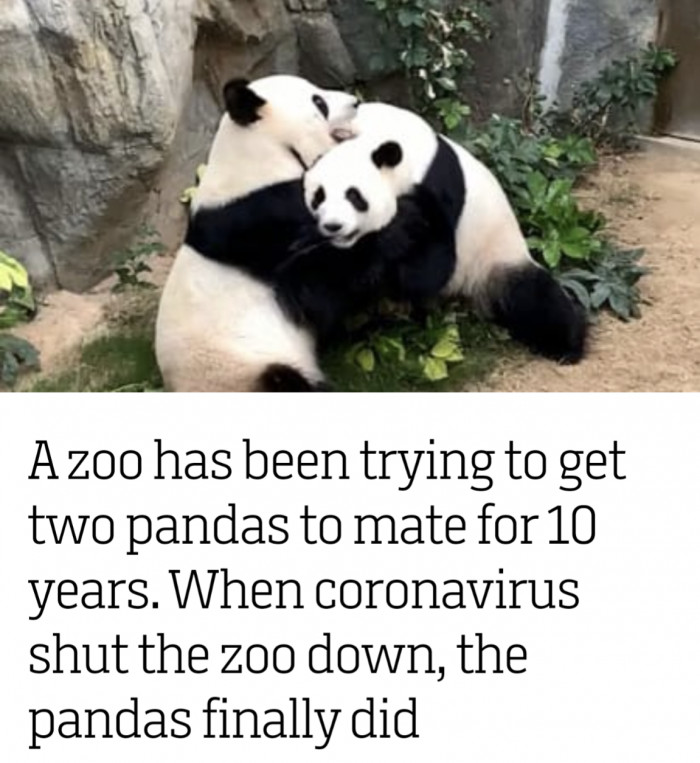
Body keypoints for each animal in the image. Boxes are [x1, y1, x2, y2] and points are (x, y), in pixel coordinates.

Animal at [302, 102, 588, 363]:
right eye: (319, 197)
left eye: (354, 197)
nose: (333, 226)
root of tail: (465, 296)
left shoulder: (437, 187)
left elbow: (431, 268)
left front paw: (396, 234)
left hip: (495, 258)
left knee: (535, 299)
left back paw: (568, 346)